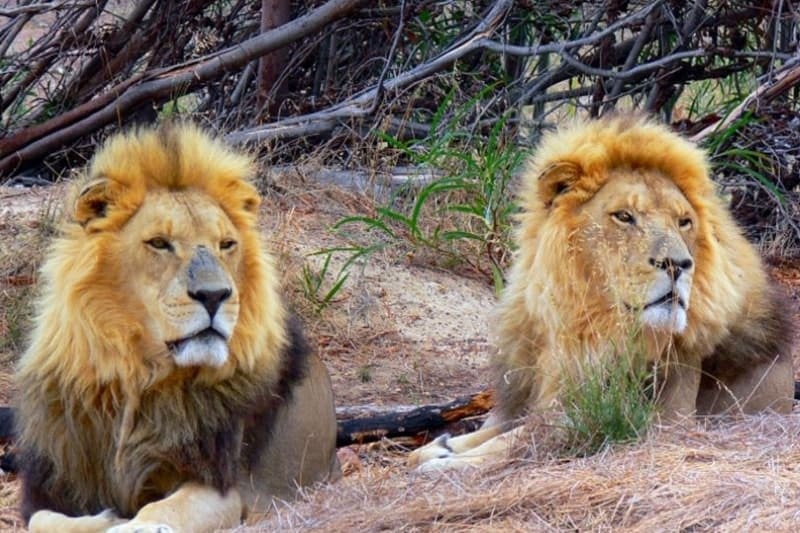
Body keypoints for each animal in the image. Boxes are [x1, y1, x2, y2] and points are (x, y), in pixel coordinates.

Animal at [15, 123, 341, 532]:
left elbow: (164, 509)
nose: (214, 295)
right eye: (159, 243)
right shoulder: (52, 484)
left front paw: (133, 524)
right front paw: (105, 517)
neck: (138, 374)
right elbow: (44, 520)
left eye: (226, 244)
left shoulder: (224, 484)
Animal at [409, 115, 795, 470]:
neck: (583, 326)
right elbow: (507, 427)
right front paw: (441, 447)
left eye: (684, 222)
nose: (678, 264)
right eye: (624, 216)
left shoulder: (662, 419)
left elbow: (523, 438)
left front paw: (448, 461)